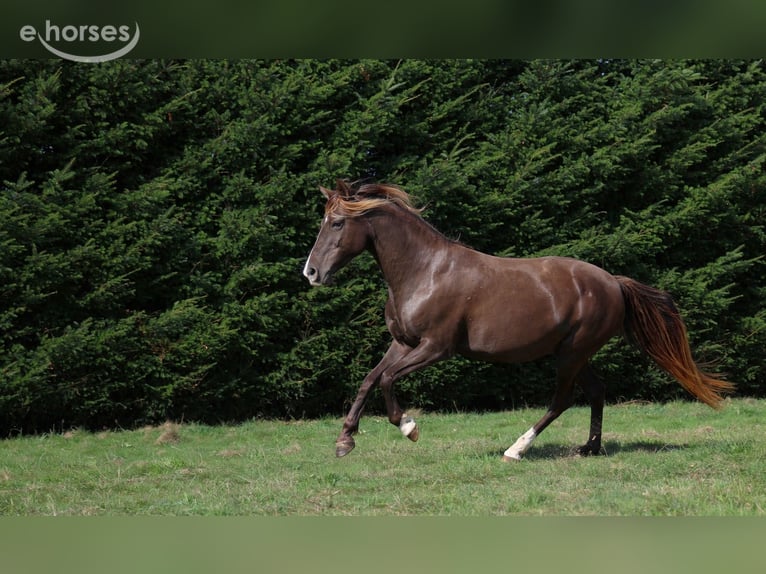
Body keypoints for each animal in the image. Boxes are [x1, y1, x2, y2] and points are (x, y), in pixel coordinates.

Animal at [302, 180, 734, 460]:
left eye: (337, 223)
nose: (311, 272)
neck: (425, 271)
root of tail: (613, 282)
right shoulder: (403, 343)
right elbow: (370, 379)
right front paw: (345, 442)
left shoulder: (436, 348)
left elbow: (388, 380)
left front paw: (409, 427)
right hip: (576, 353)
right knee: (596, 391)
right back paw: (590, 449)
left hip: (571, 354)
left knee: (562, 400)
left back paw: (517, 449)